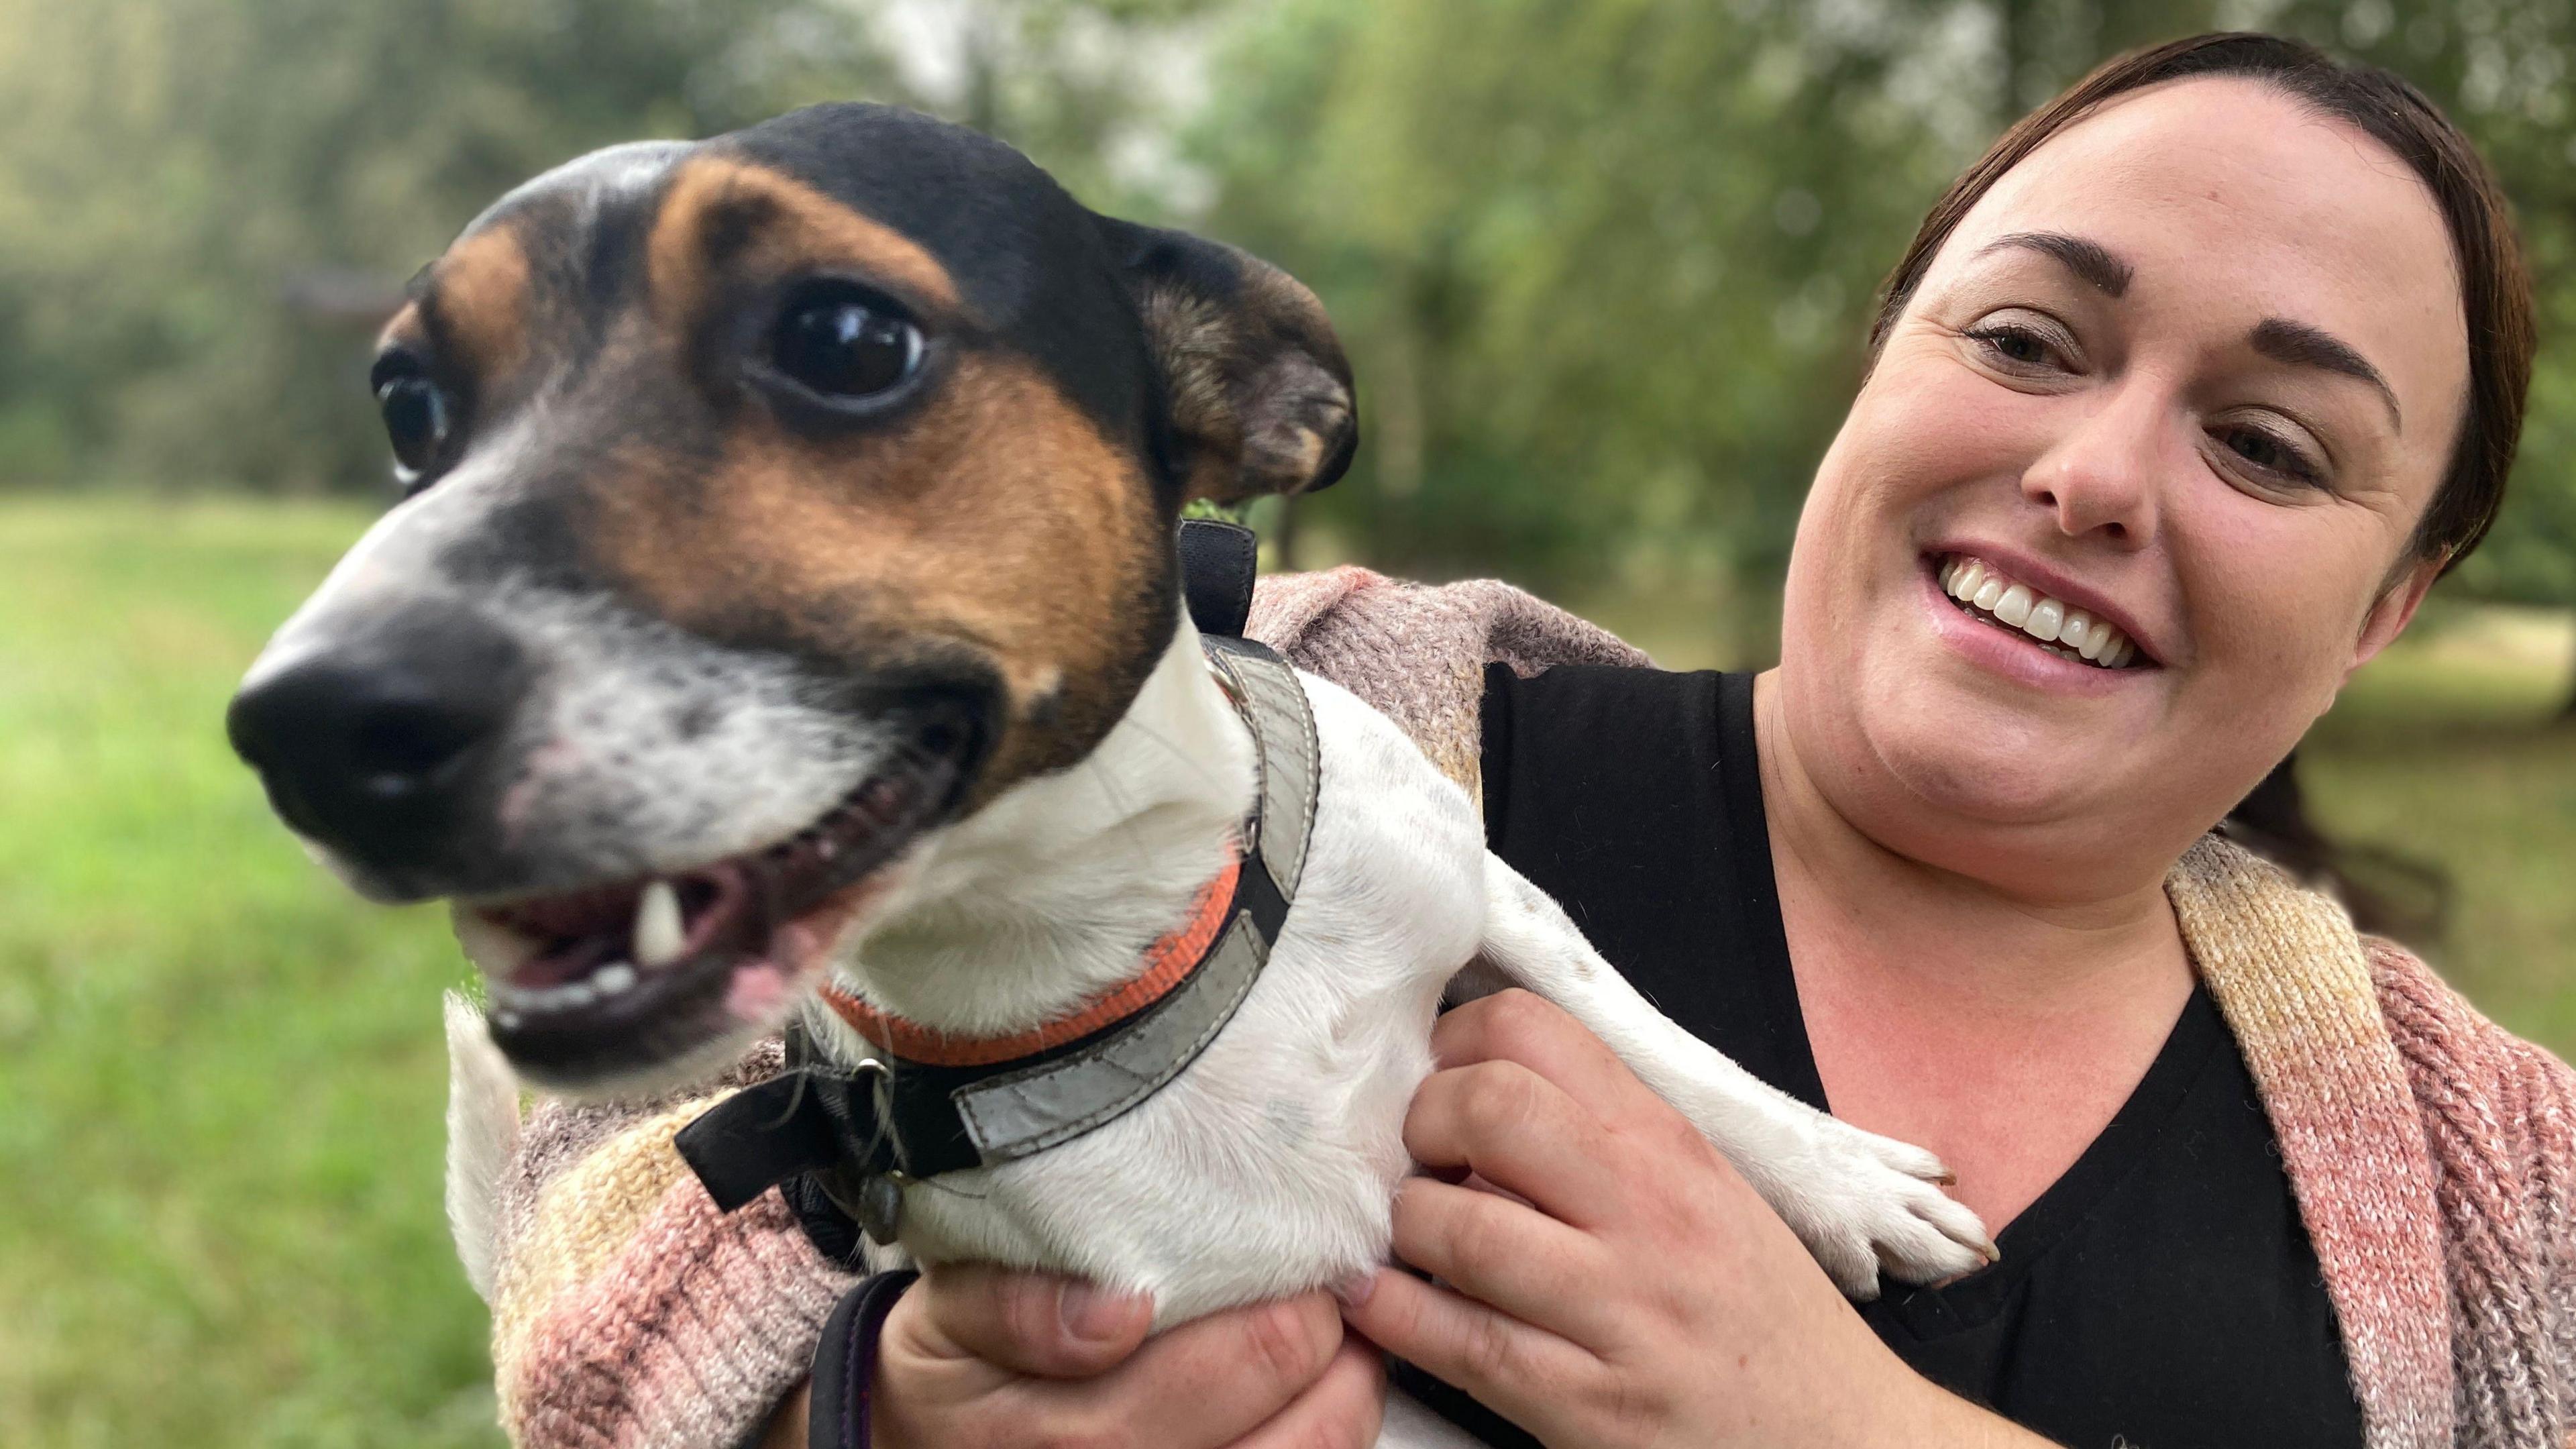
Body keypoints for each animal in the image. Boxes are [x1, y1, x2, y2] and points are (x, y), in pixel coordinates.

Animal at [226, 104, 1988, 1444]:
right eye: (412, 407)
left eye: (845, 337)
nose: (308, 726)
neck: (1130, 937)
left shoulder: (1478, 880)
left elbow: (1659, 1047)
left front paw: (1843, 1178)